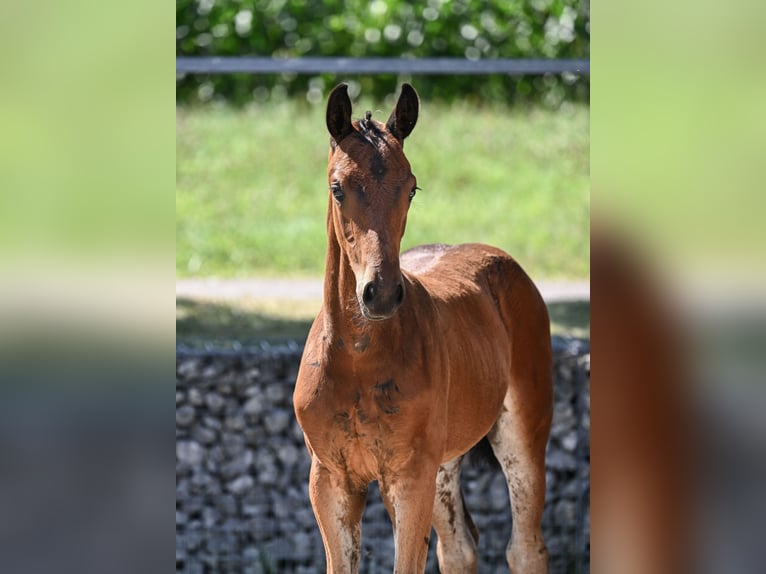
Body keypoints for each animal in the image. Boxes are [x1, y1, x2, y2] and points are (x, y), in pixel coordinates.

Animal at [292, 83, 552, 572]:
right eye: (337, 188)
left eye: (411, 188)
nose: (380, 293)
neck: (357, 359)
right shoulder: (330, 481)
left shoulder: (409, 478)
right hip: (442, 466)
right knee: (459, 548)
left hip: (520, 434)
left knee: (525, 547)